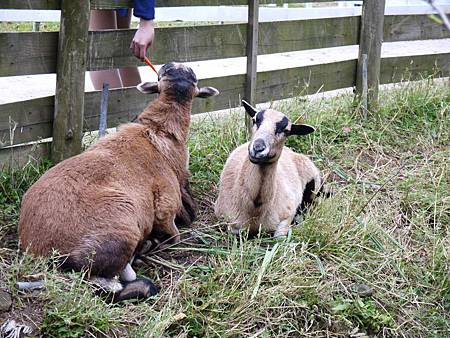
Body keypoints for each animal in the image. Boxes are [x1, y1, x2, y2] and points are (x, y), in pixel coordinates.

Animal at [18, 62, 219, 302]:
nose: (174, 67)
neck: (158, 131)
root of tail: (43, 250)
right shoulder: (167, 205)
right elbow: (176, 235)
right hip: (121, 230)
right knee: (111, 280)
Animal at [214, 99, 320, 238]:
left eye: (286, 130)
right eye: (255, 120)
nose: (258, 148)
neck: (255, 209)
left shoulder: (287, 214)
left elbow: (279, 237)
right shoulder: (225, 218)